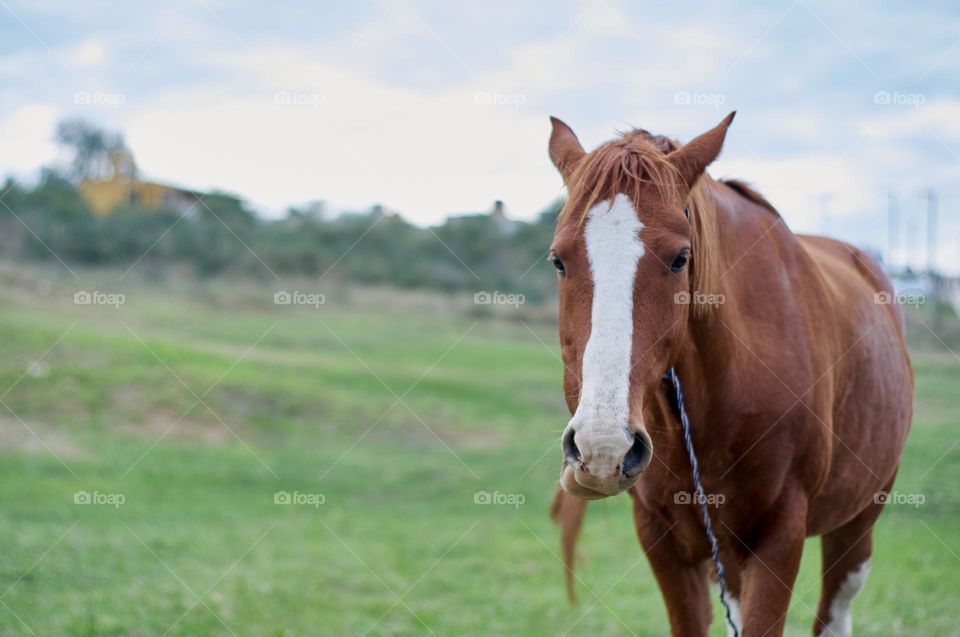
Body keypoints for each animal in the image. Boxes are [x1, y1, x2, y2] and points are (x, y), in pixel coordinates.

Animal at [545, 112, 913, 637]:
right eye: (558, 260)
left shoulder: (780, 536)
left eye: (680, 258)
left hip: (859, 518)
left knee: (835, 610)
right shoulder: (662, 540)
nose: (603, 449)